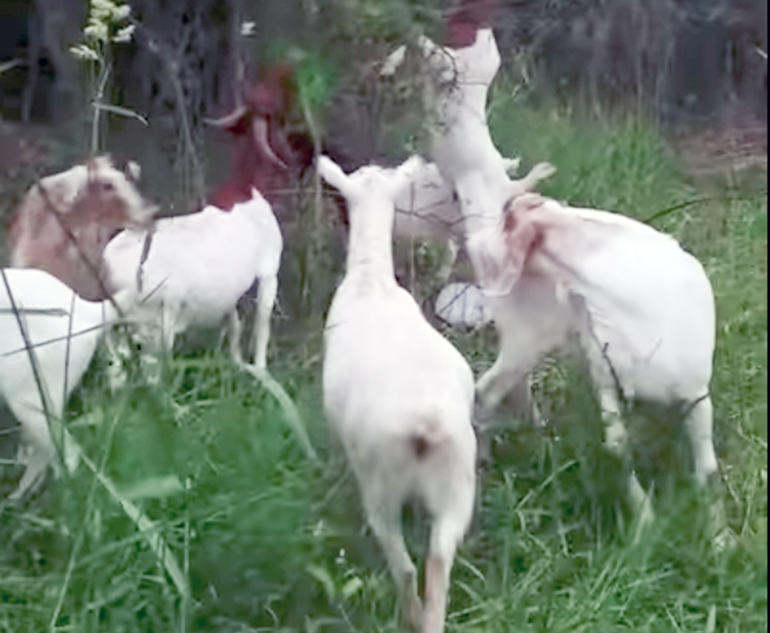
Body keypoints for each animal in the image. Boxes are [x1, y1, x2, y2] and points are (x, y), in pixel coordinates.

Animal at [319, 155, 476, 633]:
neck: (371, 278)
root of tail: (426, 423)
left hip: (381, 482)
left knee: (404, 565)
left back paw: (410, 615)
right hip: (459, 483)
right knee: (438, 559)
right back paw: (432, 620)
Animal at [470, 192, 720, 534]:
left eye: (505, 221)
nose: (475, 246)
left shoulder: (696, 394)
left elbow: (707, 467)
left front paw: (719, 535)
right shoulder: (607, 380)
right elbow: (618, 447)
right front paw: (645, 521)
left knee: (493, 392)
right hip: (530, 337)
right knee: (487, 392)